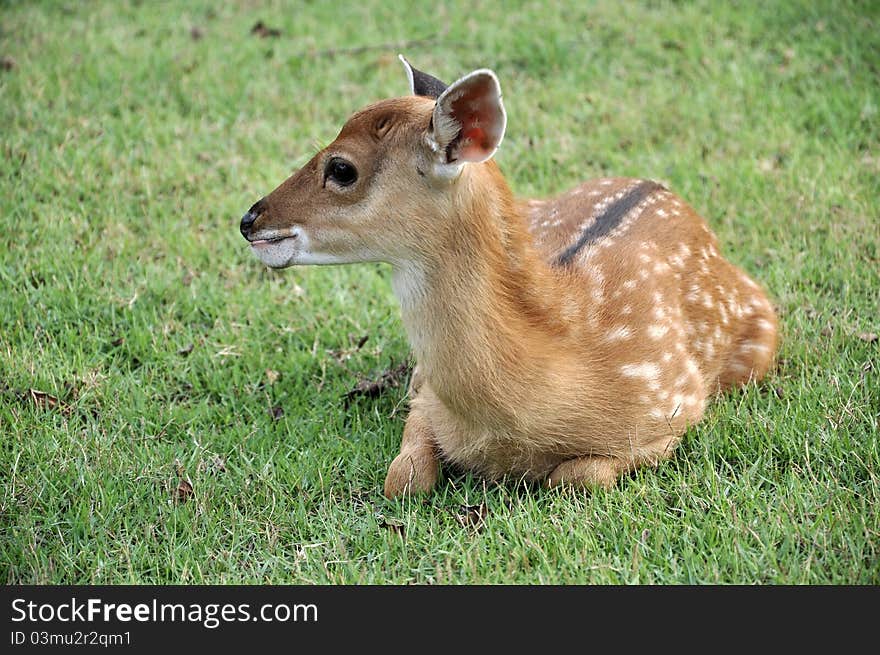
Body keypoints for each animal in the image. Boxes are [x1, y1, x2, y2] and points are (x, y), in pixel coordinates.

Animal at [239, 57, 776, 498]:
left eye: (342, 168)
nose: (249, 220)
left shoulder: (670, 411)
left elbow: (578, 476)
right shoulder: (427, 398)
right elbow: (403, 478)